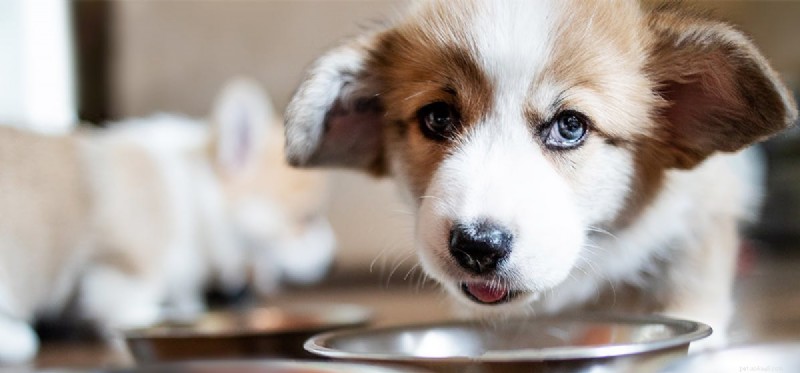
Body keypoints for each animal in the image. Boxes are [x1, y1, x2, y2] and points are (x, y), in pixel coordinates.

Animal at [0, 79, 334, 364]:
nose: (331, 260)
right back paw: (17, 338)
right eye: (306, 218)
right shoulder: (126, 265)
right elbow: (126, 304)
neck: (195, 199)